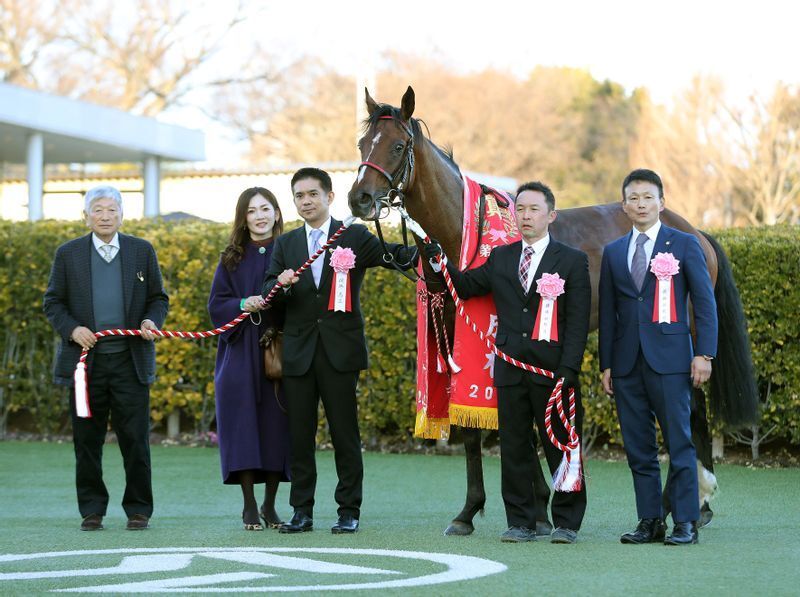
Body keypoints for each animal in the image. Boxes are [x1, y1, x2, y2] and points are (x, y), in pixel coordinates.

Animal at [348, 85, 756, 536]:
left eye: (398, 146)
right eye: (363, 144)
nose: (359, 198)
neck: (465, 237)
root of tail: (694, 232)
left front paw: (539, 509)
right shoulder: (462, 338)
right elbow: (475, 429)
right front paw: (470, 513)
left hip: (687, 333)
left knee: (689, 407)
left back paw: (687, 502)